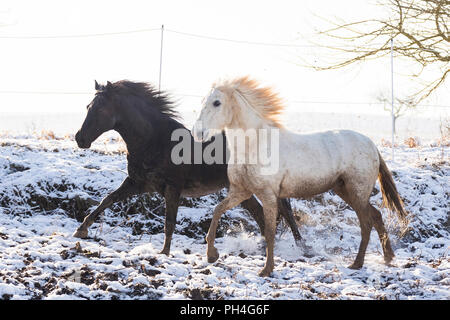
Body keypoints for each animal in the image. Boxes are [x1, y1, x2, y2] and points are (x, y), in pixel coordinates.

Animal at [72, 80, 300, 255]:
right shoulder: (138, 183)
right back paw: (265, 247)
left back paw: (300, 247)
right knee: (261, 214)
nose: (80, 139)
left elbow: (169, 222)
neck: (154, 141)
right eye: (88, 106)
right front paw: (81, 230)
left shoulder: (173, 188)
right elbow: (108, 199)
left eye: (100, 108)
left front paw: (164, 252)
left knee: (284, 211)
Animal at [193, 75, 408, 278]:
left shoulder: (268, 195)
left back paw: (357, 263)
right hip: (345, 190)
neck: (255, 145)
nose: (198, 133)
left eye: (217, 102)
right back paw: (387, 258)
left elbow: (270, 232)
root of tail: (371, 144)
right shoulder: (241, 191)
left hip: (357, 191)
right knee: (376, 216)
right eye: (203, 100)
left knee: (366, 223)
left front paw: (266, 270)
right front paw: (211, 255)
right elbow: (217, 211)